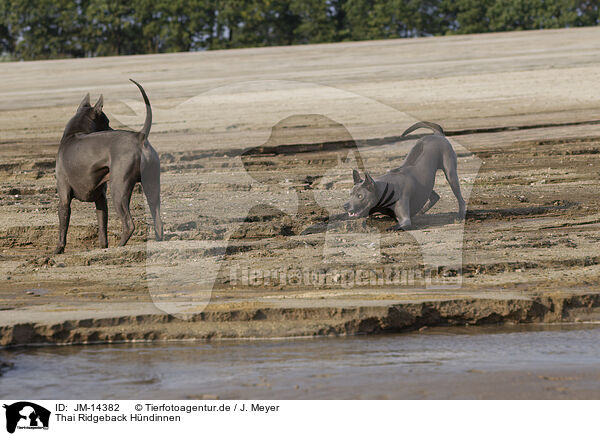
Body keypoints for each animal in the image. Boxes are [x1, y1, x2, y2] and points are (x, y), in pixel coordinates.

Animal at [53, 80, 161, 254]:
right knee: (157, 217)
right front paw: (103, 247)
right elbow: (102, 228)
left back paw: (121, 245)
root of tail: (140, 136)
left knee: (129, 224)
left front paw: (58, 250)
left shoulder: (63, 197)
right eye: (108, 122)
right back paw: (158, 241)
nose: (112, 128)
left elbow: (63, 227)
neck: (74, 133)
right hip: (152, 185)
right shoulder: (101, 199)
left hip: (118, 189)